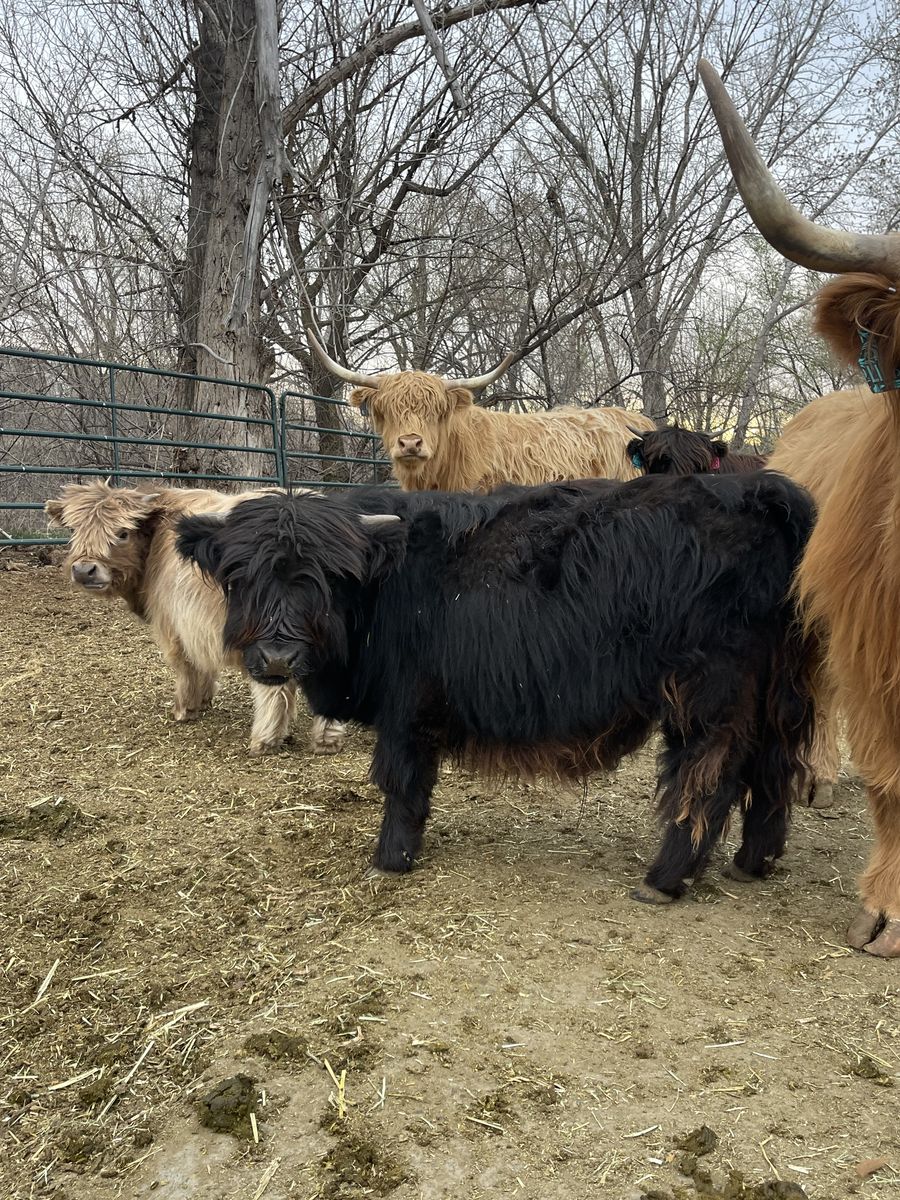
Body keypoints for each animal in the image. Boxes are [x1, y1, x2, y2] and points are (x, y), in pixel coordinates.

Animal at [44, 481, 346, 757]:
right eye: (73, 530)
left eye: (122, 533)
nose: (84, 570)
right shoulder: (198, 626)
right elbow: (203, 665)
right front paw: (204, 700)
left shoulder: (173, 626)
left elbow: (186, 667)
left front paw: (184, 709)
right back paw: (326, 740)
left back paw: (265, 741)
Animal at [176, 475, 816, 904]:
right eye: (240, 575)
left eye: (325, 579)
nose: (277, 655)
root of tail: (755, 488)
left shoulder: (407, 708)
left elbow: (401, 781)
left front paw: (391, 858)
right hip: (775, 691)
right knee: (773, 769)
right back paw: (751, 862)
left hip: (709, 691)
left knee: (709, 777)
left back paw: (665, 879)